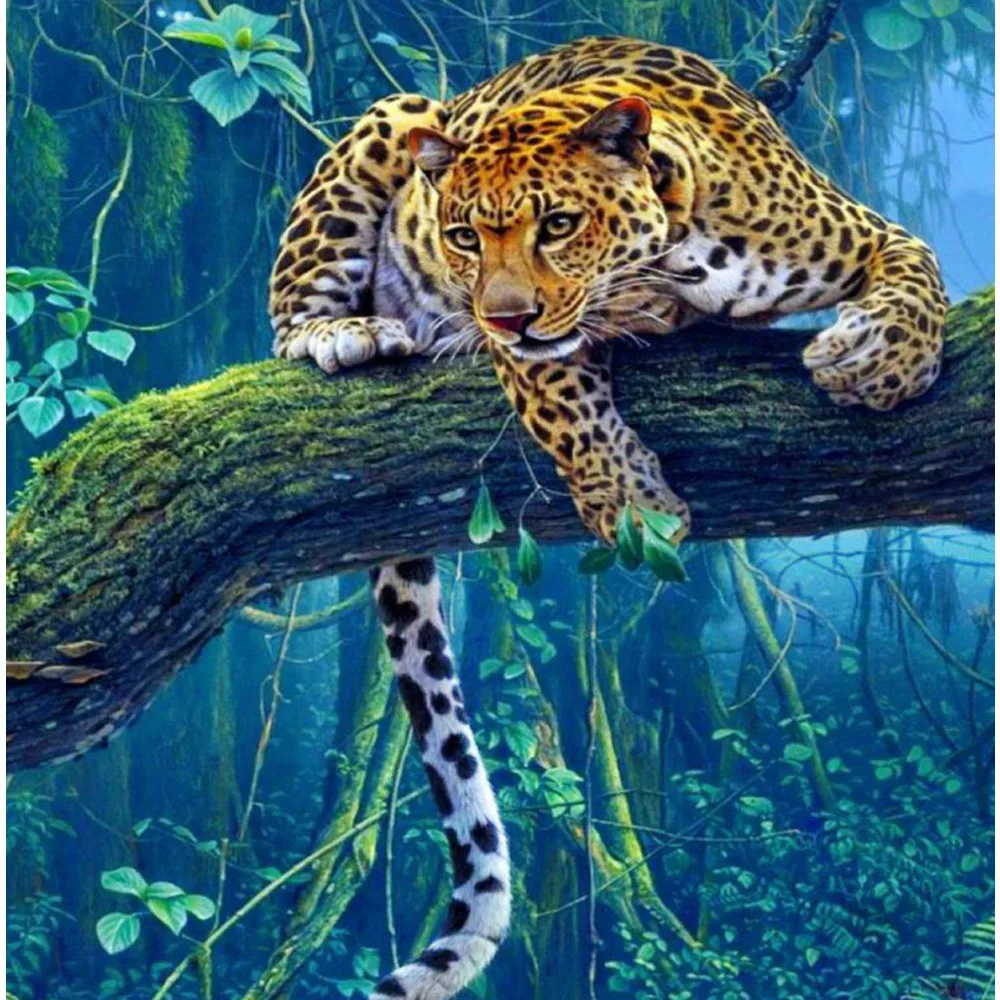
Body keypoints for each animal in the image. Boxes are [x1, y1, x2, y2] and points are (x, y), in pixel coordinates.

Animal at [267, 36, 948, 1000]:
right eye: (464, 235)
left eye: (557, 224)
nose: (503, 314)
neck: (680, 253)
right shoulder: (531, 351)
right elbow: (563, 400)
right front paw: (632, 504)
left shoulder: (859, 230)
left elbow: (918, 265)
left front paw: (881, 362)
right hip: (395, 116)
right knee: (288, 313)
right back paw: (340, 334)